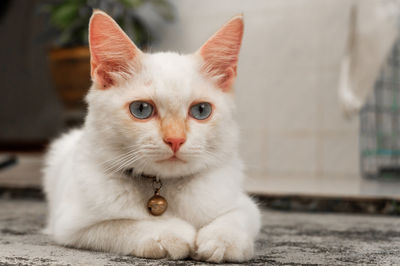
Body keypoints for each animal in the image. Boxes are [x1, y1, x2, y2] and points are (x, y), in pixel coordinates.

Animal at [43, 9, 260, 262]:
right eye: (141, 109)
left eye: (201, 110)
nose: (175, 140)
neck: (163, 186)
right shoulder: (71, 226)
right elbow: (124, 225)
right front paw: (171, 233)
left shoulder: (244, 205)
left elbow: (235, 217)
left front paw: (221, 241)